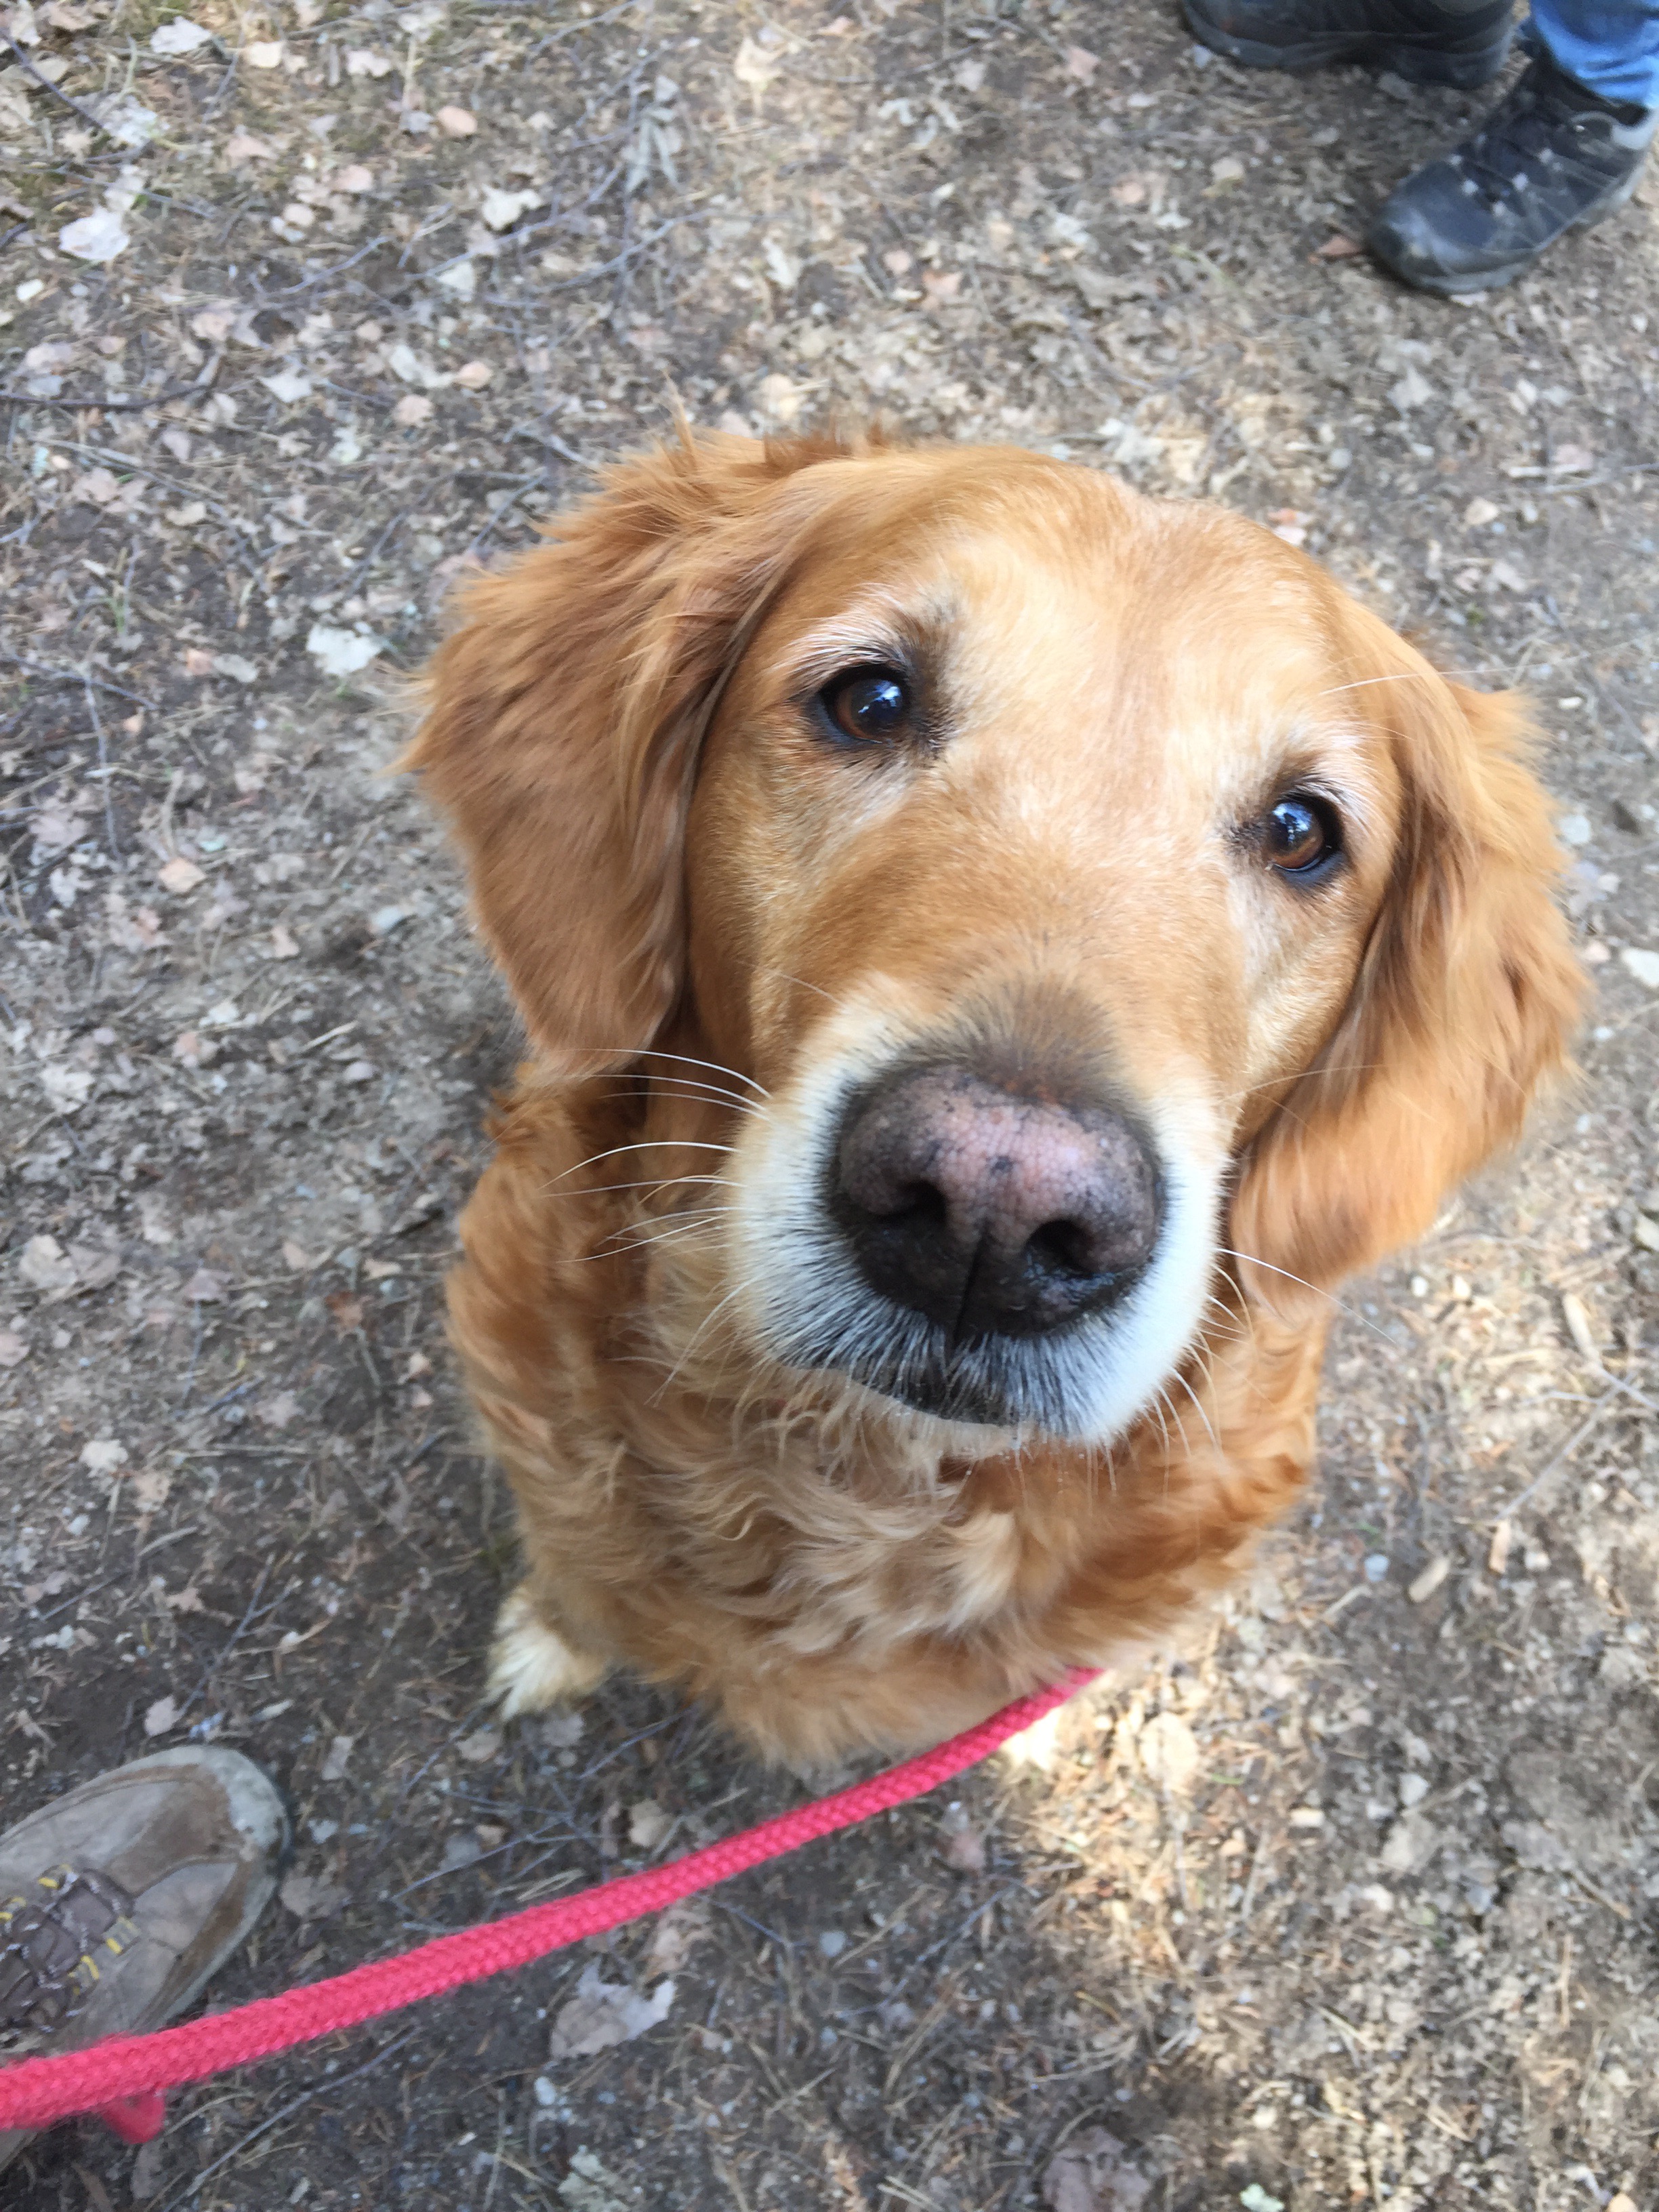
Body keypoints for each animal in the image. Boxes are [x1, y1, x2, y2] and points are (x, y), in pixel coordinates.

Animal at [407, 430, 1581, 1767]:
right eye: (868, 702)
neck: (869, 1473)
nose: (993, 1212)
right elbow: (580, 1571)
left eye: (1299, 830)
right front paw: (554, 1637)